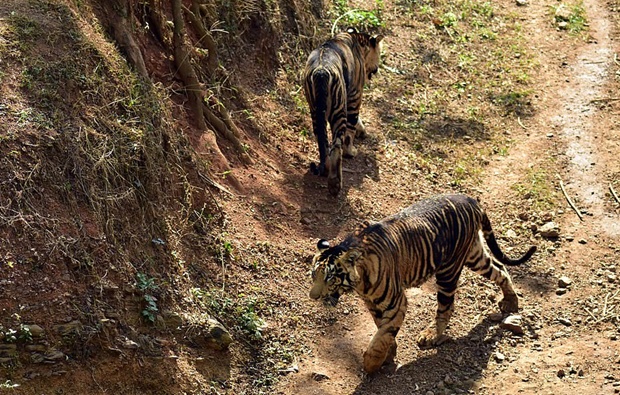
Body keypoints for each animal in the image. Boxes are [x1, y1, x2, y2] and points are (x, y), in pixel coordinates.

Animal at [304, 27, 386, 197]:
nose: (376, 70)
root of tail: (321, 71)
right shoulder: (355, 95)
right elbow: (351, 128)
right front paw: (352, 151)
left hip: (315, 110)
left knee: (322, 141)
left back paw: (326, 169)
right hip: (338, 111)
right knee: (336, 146)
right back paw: (335, 184)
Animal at [310, 195, 536, 374]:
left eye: (329, 278)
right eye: (314, 275)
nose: (313, 296)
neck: (360, 283)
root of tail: (470, 199)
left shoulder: (396, 302)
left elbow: (384, 333)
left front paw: (371, 365)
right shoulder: (372, 303)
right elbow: (381, 328)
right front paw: (389, 354)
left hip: (449, 271)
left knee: (446, 306)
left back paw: (431, 335)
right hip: (475, 256)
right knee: (500, 268)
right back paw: (510, 301)